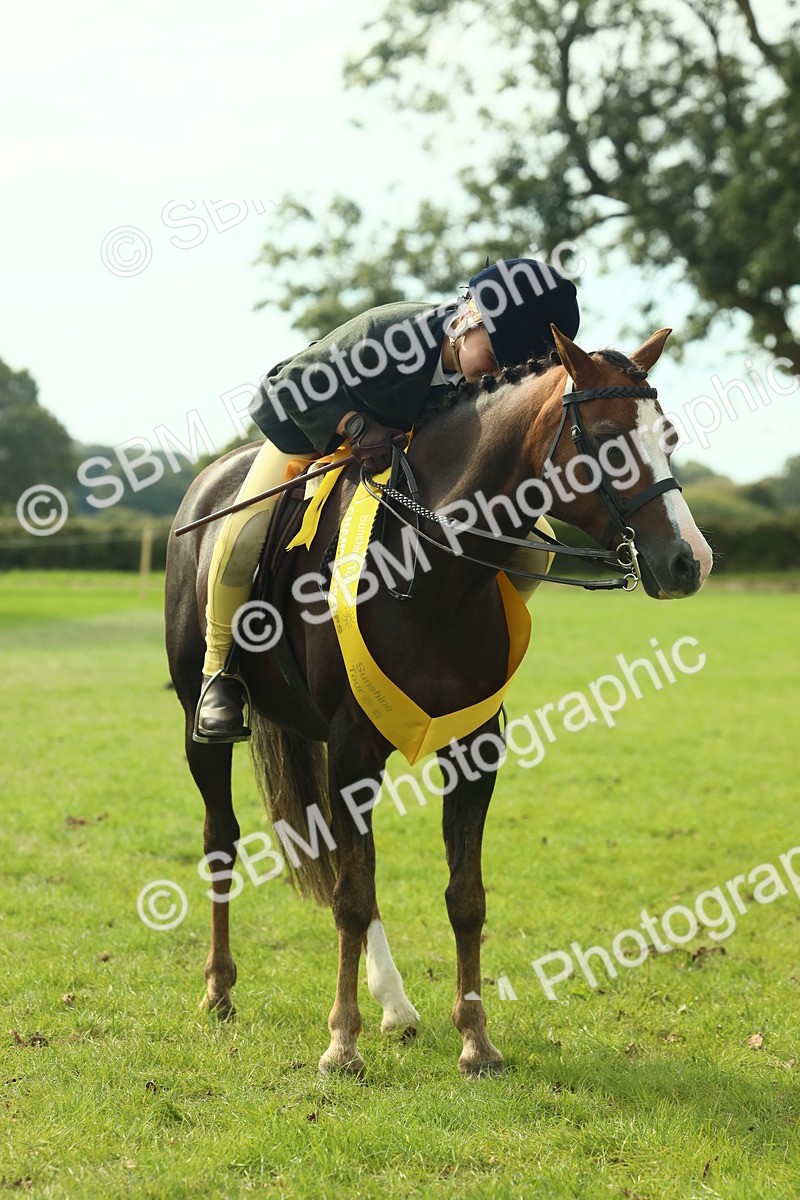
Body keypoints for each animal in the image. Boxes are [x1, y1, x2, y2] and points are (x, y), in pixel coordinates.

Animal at [164, 324, 713, 1077]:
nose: (691, 561)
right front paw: (341, 1044)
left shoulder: (474, 748)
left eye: (670, 436)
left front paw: (475, 1039)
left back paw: (395, 1007)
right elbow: (351, 897)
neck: (435, 571)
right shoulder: (354, 748)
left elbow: (463, 896)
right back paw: (220, 988)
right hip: (206, 727)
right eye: (604, 437)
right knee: (222, 839)